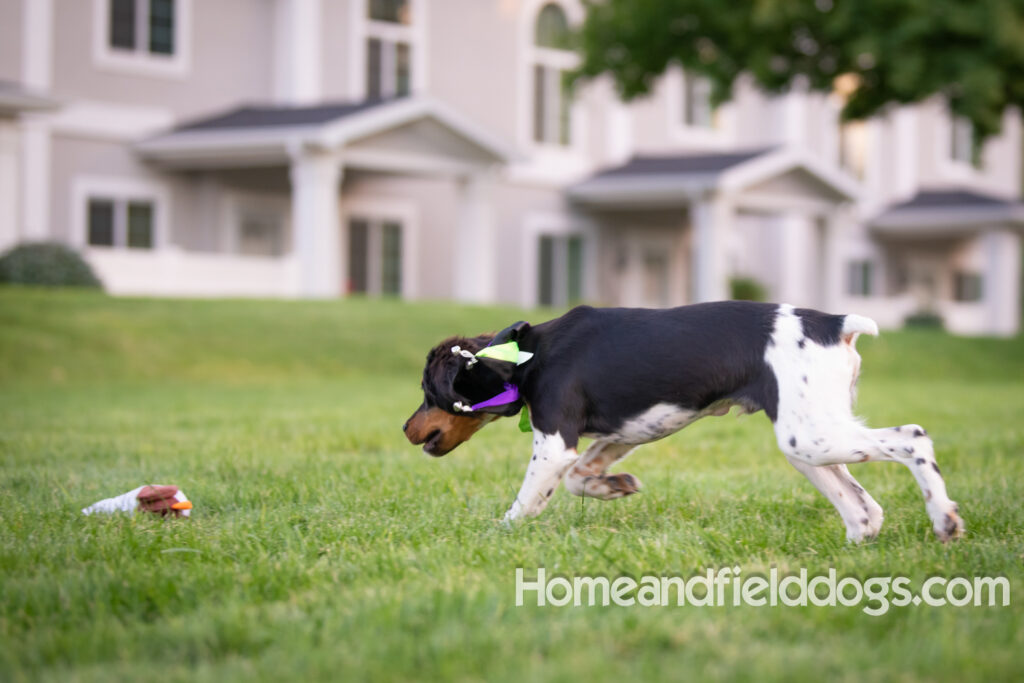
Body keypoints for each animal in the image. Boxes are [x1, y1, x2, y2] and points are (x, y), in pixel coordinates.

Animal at [403, 301, 962, 540]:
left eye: (428, 392)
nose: (406, 429)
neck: (527, 353)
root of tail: (835, 323)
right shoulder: (619, 435)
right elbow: (582, 479)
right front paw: (616, 487)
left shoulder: (555, 441)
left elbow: (525, 503)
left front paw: (496, 535)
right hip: (807, 440)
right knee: (865, 510)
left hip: (810, 437)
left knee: (914, 439)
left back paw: (945, 520)